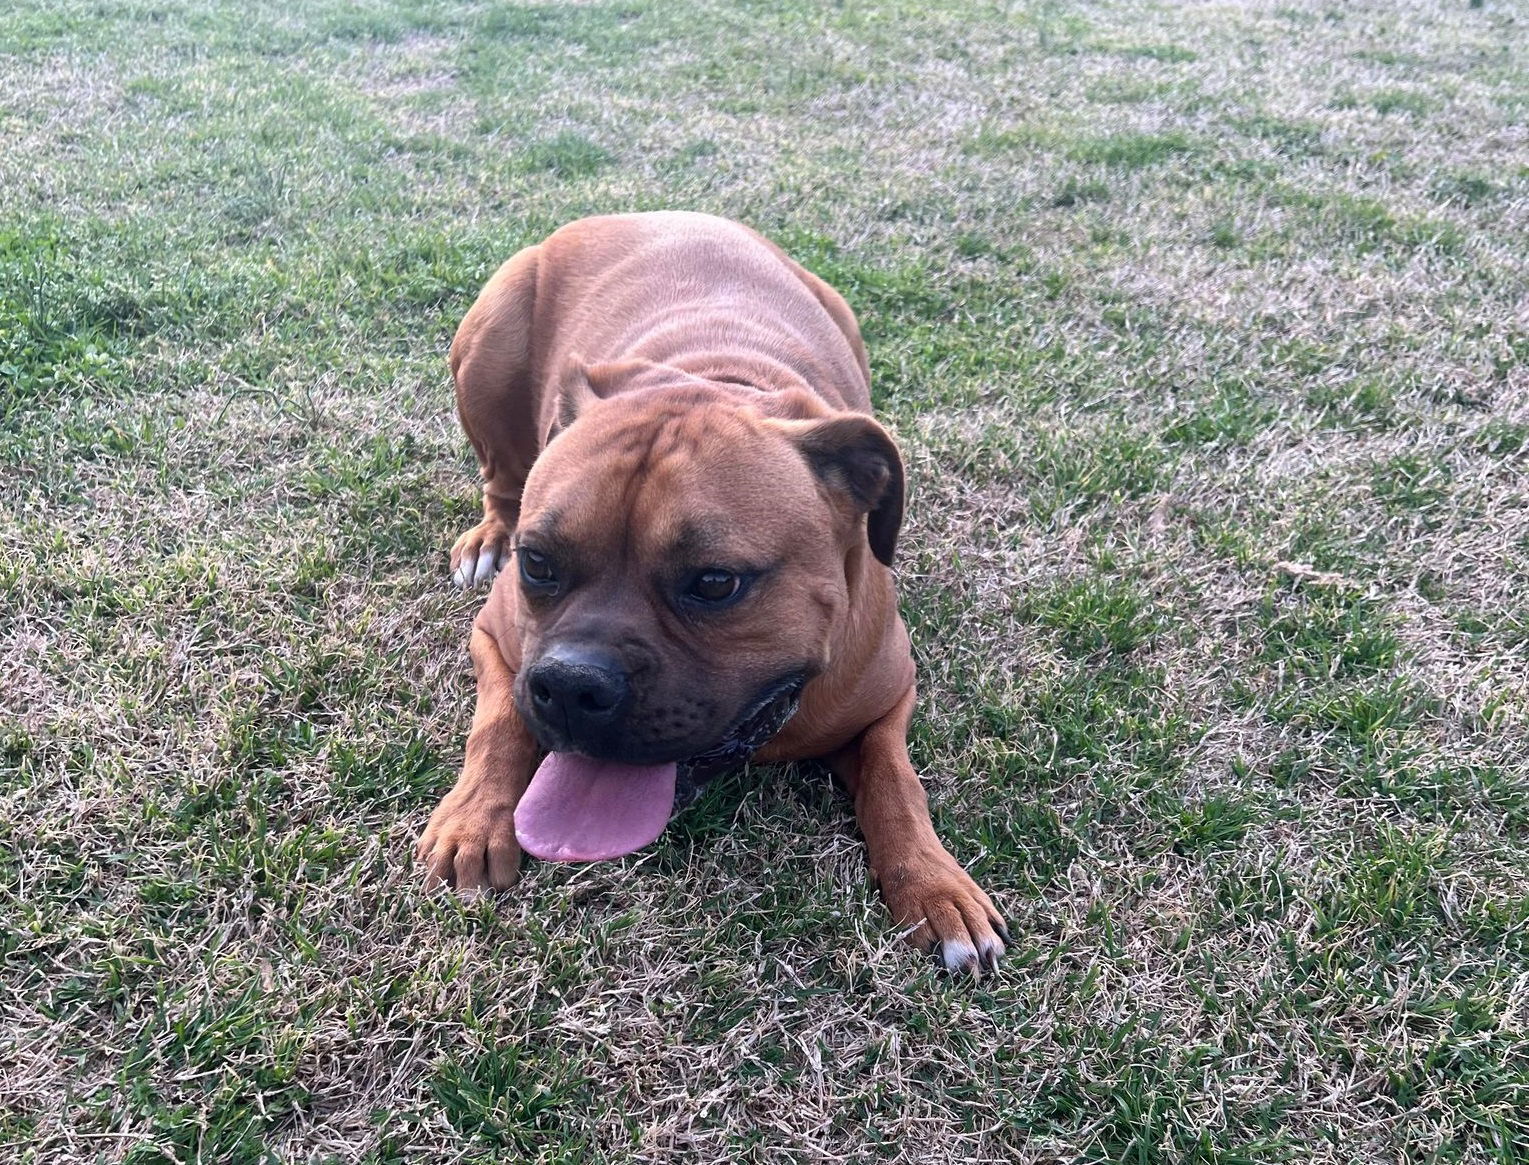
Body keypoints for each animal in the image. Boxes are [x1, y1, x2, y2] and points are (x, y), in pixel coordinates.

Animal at [418, 210, 1009, 972]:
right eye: (540, 564)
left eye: (715, 582)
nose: (572, 686)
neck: (719, 380)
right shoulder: (498, 639)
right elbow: (497, 723)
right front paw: (472, 819)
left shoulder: (889, 696)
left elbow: (895, 781)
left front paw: (936, 885)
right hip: (490, 339)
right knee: (502, 476)